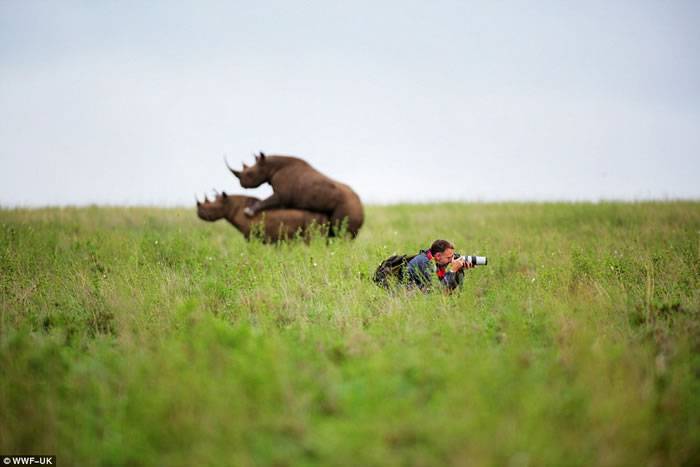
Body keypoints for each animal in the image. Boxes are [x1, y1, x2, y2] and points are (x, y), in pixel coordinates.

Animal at [228, 154, 364, 238]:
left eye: (250, 174)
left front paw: (248, 211)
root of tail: (361, 205)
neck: (271, 166)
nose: (241, 184)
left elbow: (267, 200)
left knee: (340, 229)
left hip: (348, 205)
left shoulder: (282, 195)